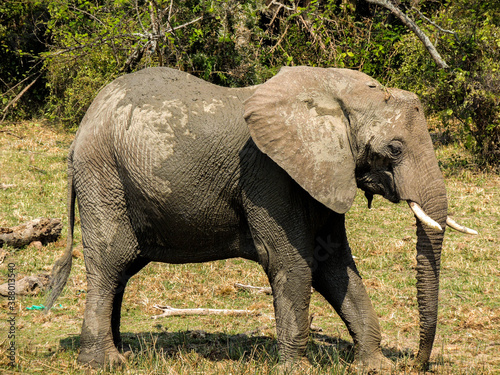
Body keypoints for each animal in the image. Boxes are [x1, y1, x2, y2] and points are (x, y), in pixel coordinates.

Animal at [45, 67, 474, 370]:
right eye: (395, 149)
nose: (417, 364)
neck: (335, 92)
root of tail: (81, 130)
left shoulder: (322, 171)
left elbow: (334, 264)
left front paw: (375, 367)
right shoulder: (268, 174)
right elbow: (292, 262)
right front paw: (298, 369)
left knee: (123, 268)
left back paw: (120, 353)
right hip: (103, 174)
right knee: (110, 260)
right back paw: (106, 363)